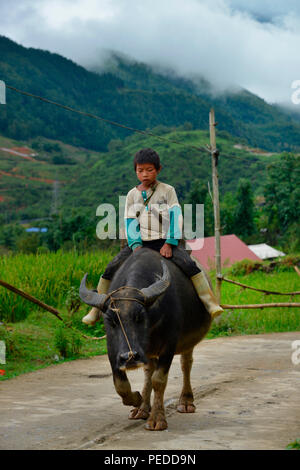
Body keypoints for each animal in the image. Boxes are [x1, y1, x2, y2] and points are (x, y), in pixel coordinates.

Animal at [79, 248, 211, 432]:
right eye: (111, 321)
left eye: (140, 317)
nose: (130, 357)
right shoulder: (113, 347)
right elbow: (120, 385)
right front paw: (137, 399)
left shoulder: (169, 345)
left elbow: (159, 380)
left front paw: (157, 419)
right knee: (149, 370)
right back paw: (142, 409)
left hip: (186, 342)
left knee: (186, 364)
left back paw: (186, 402)